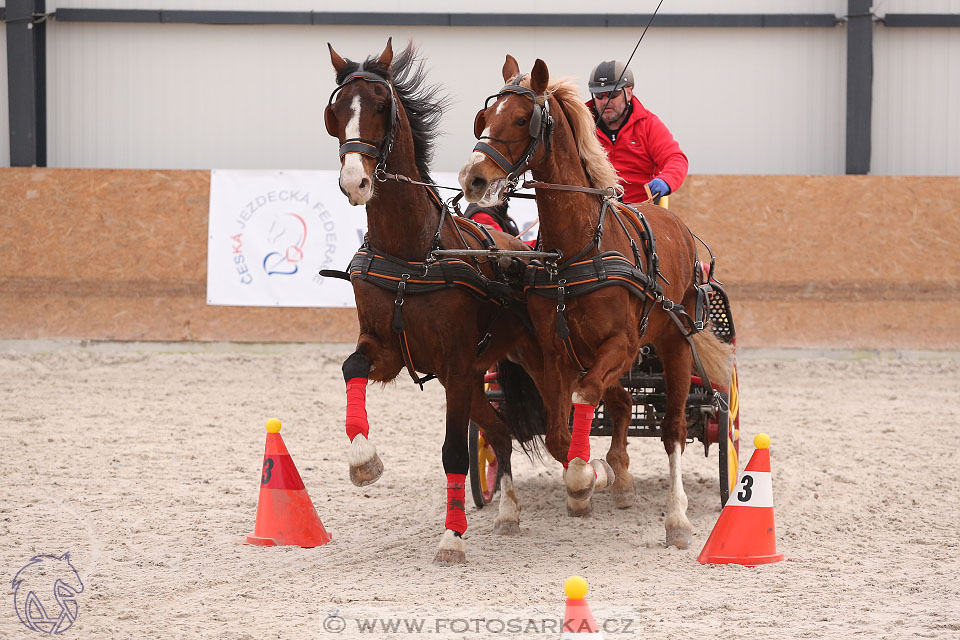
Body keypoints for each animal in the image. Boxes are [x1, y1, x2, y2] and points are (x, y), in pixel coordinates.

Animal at [324, 40, 544, 564]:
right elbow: (350, 367)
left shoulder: (458, 364)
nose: (354, 181)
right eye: (336, 112)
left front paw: (451, 537)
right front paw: (363, 460)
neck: (413, 253)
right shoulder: (391, 351)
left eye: (380, 107)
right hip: (470, 376)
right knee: (500, 431)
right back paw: (509, 510)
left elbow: (453, 453)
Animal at [462, 55, 732, 548]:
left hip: (674, 345)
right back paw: (621, 479)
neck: (577, 248)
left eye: (521, 119)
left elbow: (585, 398)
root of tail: (677, 226)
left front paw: (591, 475)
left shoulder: (620, 345)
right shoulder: (555, 354)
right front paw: (591, 478)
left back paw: (677, 518)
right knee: (623, 403)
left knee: (673, 430)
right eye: (485, 116)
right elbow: (558, 432)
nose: (473, 179)